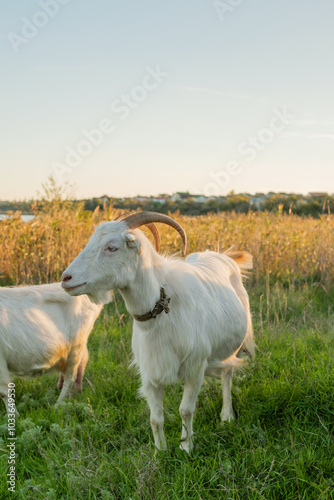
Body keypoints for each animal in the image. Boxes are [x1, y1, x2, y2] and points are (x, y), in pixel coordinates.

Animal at [61, 212, 253, 454]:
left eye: (111, 247)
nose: (66, 278)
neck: (161, 311)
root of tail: (223, 255)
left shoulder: (195, 367)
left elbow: (185, 410)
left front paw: (186, 447)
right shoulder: (150, 373)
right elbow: (155, 418)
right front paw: (160, 452)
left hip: (232, 346)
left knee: (228, 373)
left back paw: (227, 416)